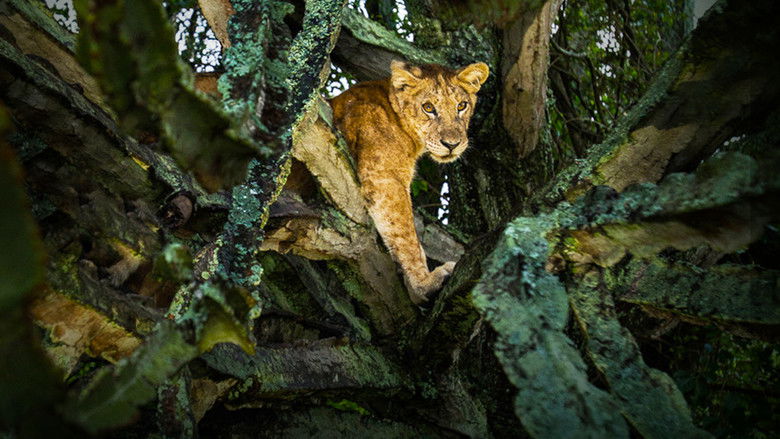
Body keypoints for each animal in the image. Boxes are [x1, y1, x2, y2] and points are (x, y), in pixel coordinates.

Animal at [330, 60, 489, 304]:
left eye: (462, 106)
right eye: (428, 108)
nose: (452, 144)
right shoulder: (384, 176)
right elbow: (406, 238)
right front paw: (424, 284)